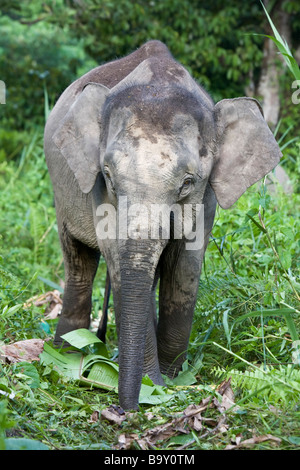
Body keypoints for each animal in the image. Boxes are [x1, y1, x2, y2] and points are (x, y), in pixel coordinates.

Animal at [44, 40, 282, 410]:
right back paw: (66, 355)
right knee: (79, 263)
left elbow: (184, 267)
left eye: (187, 183)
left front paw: (172, 380)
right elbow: (118, 261)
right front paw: (154, 385)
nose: (124, 408)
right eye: (108, 176)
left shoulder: (206, 198)